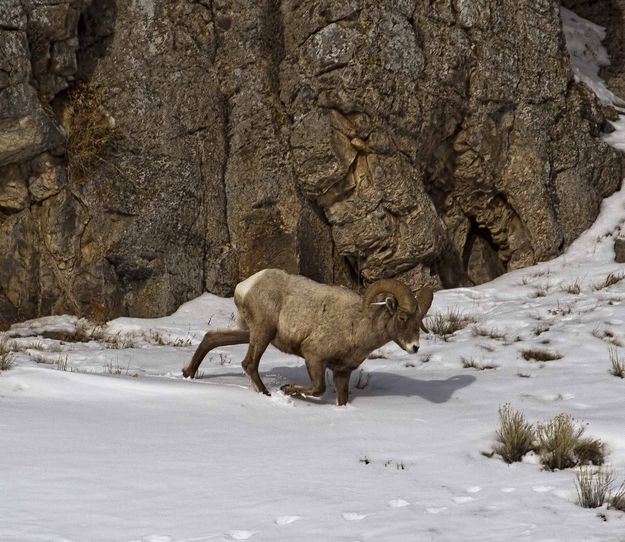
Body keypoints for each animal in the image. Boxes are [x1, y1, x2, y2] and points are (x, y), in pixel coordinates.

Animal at [183, 270, 432, 406]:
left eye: (419, 321)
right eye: (402, 317)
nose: (415, 347)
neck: (357, 327)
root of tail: (246, 286)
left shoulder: (342, 373)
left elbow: (341, 400)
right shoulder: (314, 357)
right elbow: (319, 388)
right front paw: (287, 389)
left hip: (248, 332)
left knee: (212, 338)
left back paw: (188, 374)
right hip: (262, 332)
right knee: (249, 363)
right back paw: (267, 394)